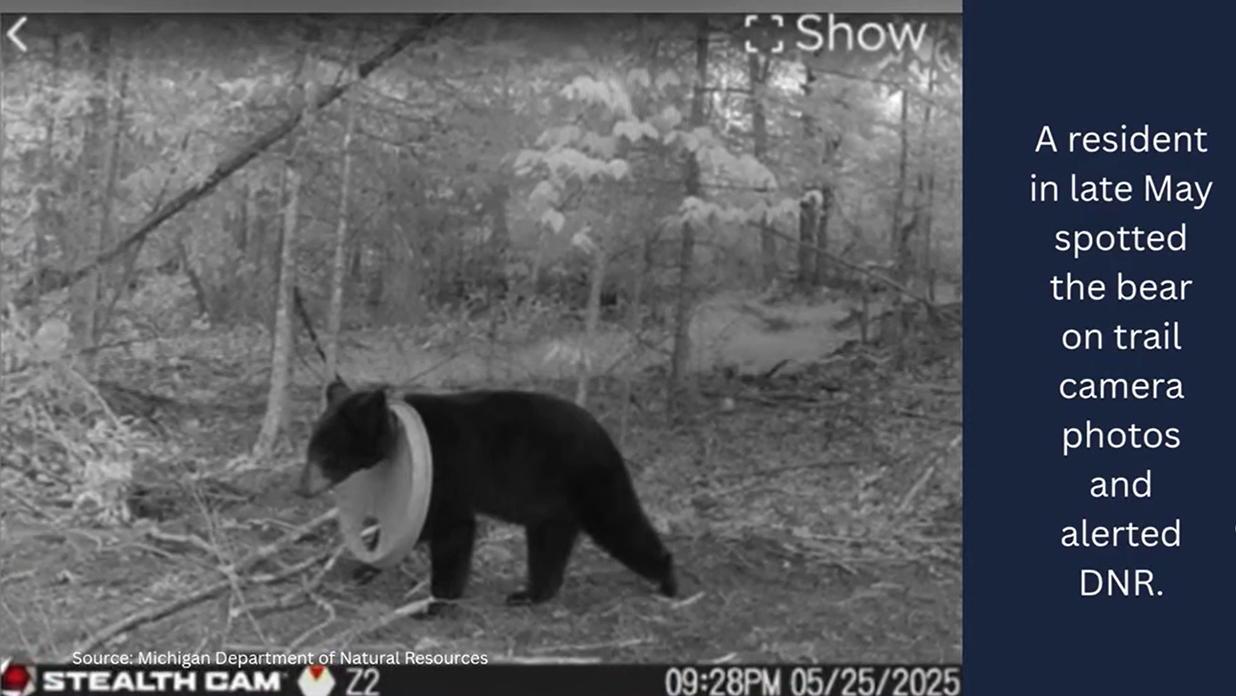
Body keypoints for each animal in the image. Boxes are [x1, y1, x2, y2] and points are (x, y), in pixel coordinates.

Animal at [297, 379, 678, 609]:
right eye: (310, 449)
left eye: (327, 456)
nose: (301, 488)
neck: (396, 436)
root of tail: (604, 433)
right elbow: (411, 528)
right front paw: (365, 567)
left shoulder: (446, 473)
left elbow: (452, 530)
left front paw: (437, 602)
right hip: (552, 504)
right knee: (549, 545)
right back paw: (529, 595)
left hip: (589, 481)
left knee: (621, 524)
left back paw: (667, 580)